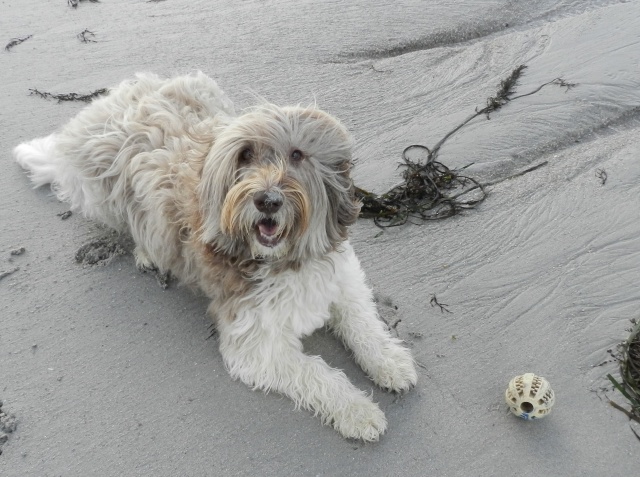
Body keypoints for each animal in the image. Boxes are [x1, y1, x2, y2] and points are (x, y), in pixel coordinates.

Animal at [13, 72, 420, 440]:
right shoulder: (254, 342)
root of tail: (106, 101)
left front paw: (390, 361)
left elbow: (363, 323)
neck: (285, 259)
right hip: (101, 193)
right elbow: (316, 372)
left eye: (297, 154)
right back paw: (147, 251)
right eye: (245, 156)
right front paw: (358, 411)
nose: (267, 200)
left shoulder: (342, 279)